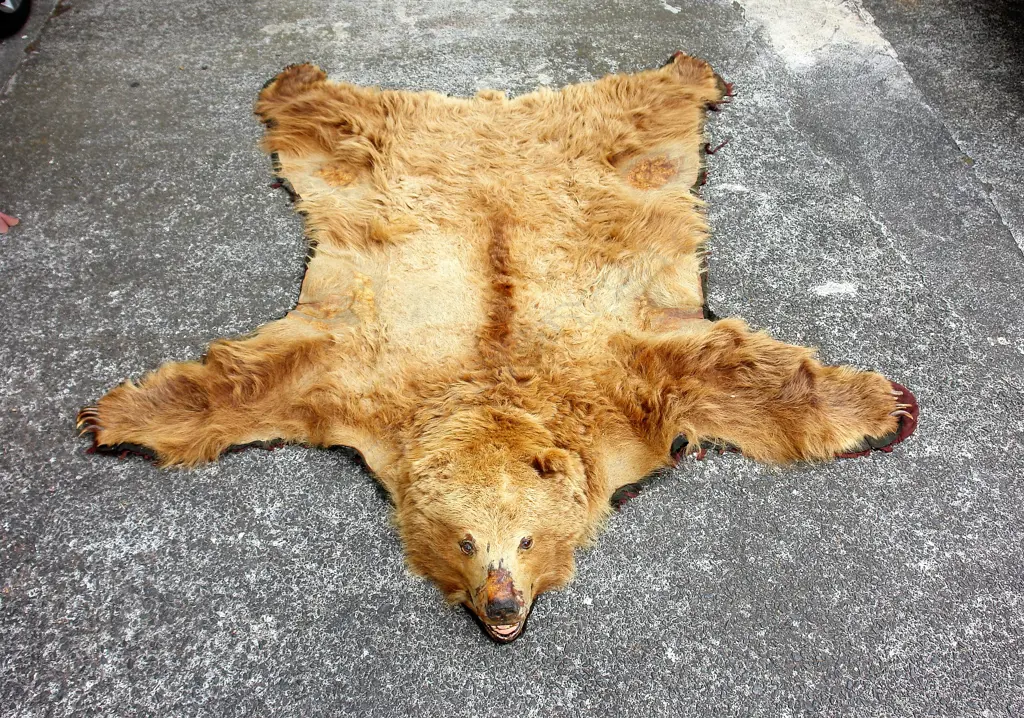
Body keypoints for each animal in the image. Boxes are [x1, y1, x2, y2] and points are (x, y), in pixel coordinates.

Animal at [77, 54, 918, 643]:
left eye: (525, 536)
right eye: (465, 540)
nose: (502, 599)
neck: (495, 386)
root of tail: (493, 115)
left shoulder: (633, 376)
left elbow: (729, 368)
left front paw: (886, 407)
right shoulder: (355, 375)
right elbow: (253, 379)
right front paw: (116, 418)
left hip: (602, 139)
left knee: (644, 108)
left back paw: (689, 68)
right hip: (381, 148)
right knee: (334, 124)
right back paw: (295, 80)